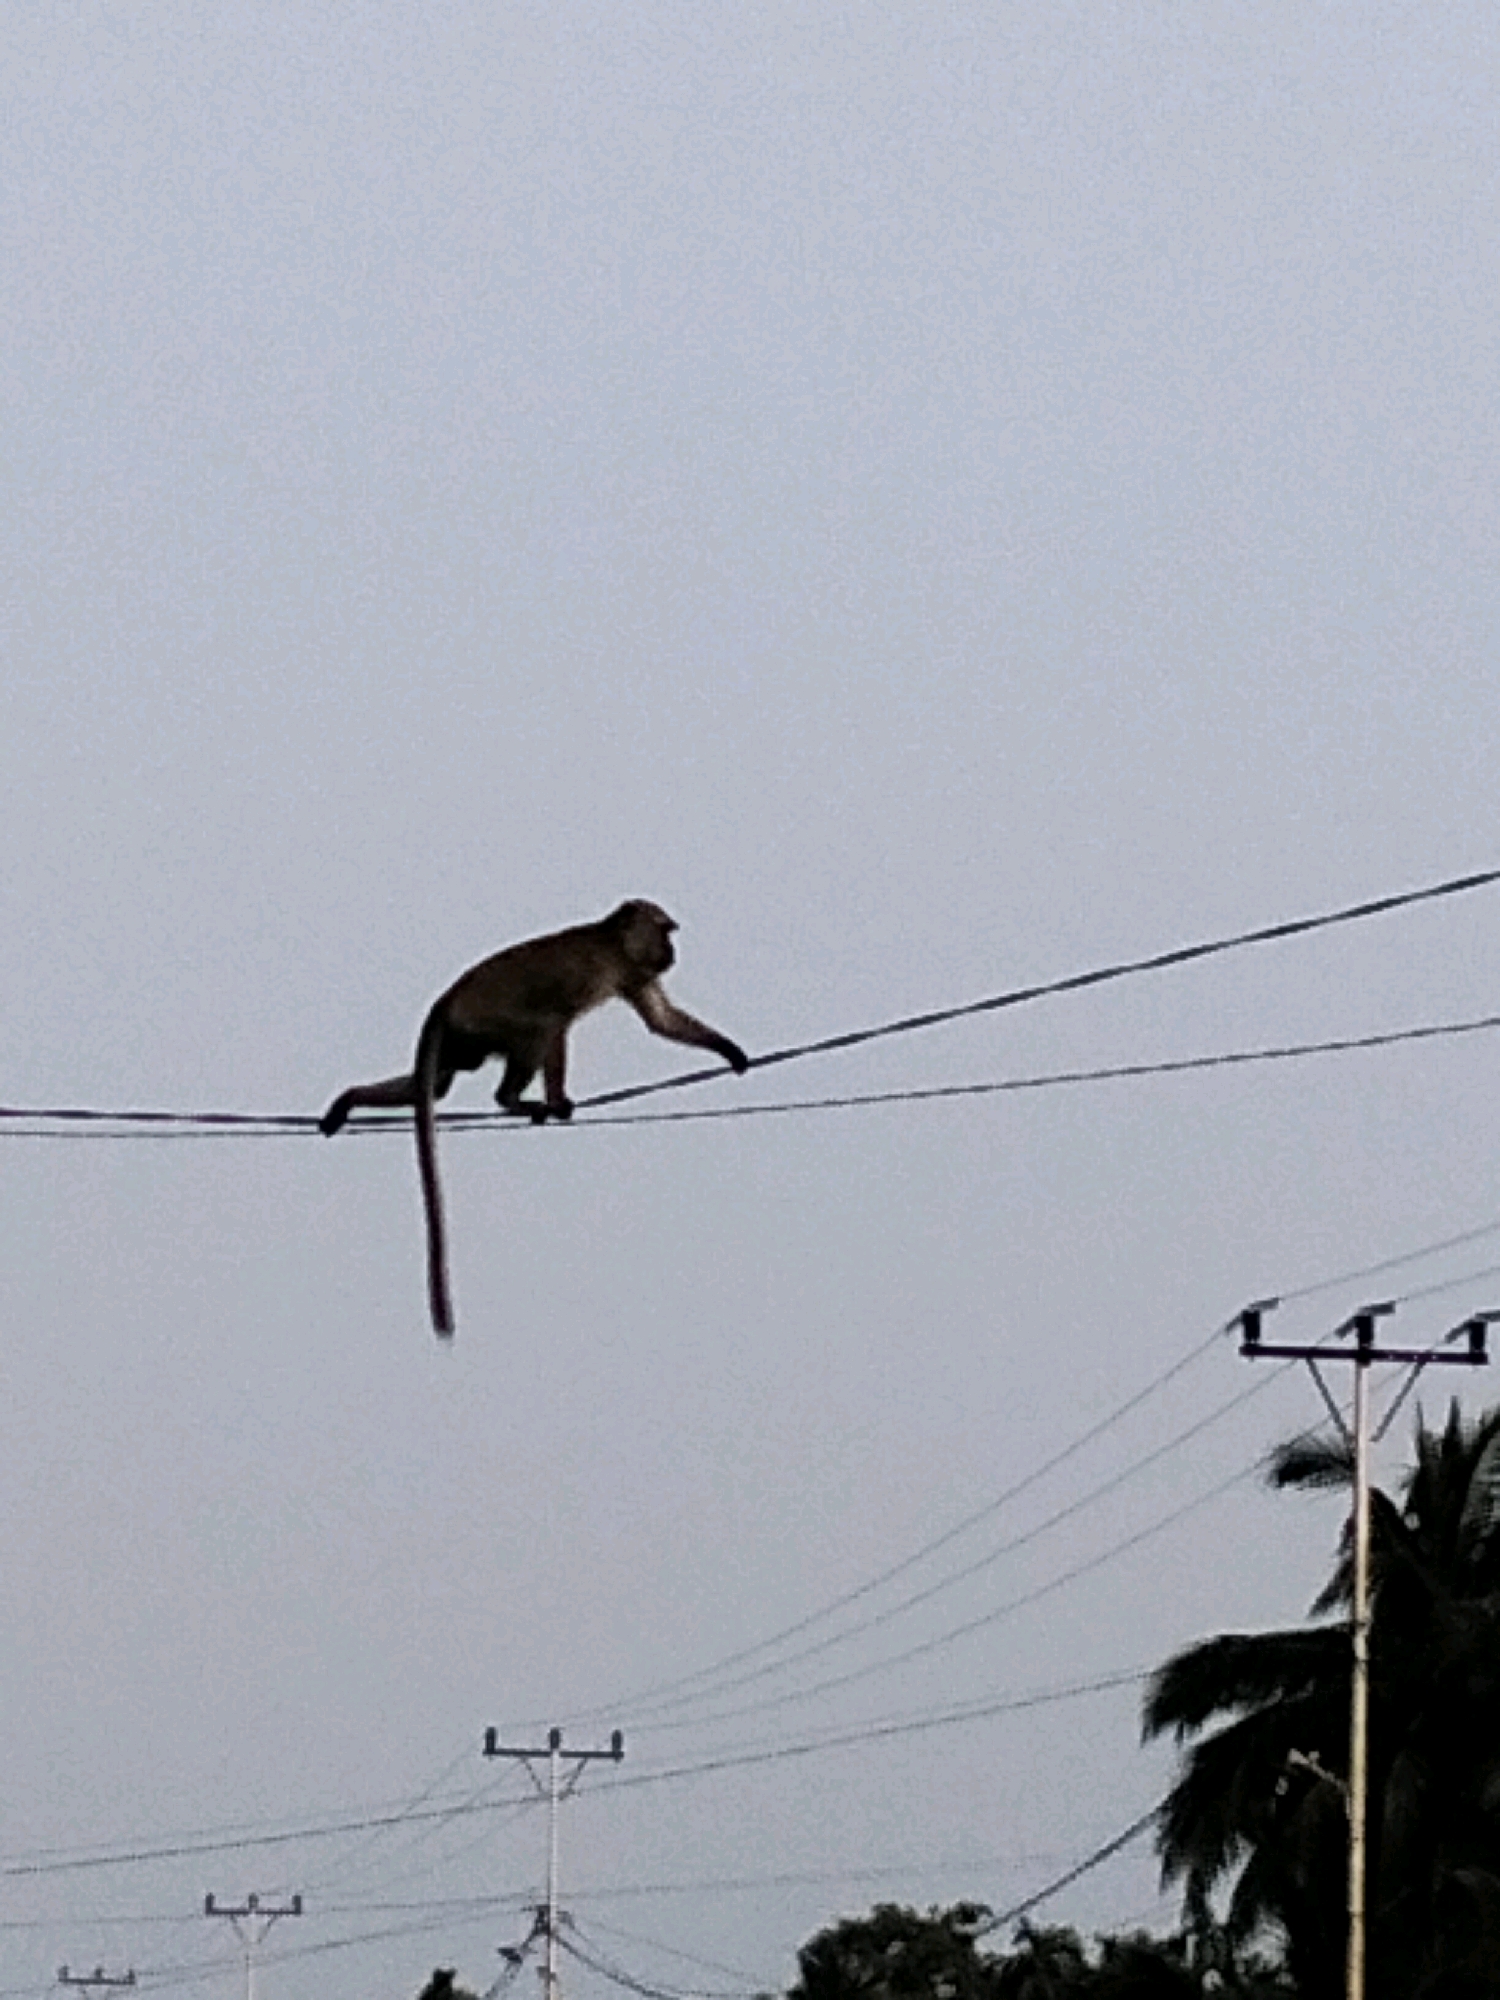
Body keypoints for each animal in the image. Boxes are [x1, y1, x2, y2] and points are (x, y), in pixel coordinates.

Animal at [320, 900, 750, 1337]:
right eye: (666, 931)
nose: (672, 953)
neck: (611, 942)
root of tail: (446, 1002)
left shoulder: (632, 970)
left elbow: (661, 1020)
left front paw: (730, 1051)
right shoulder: (593, 968)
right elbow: (557, 1022)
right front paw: (558, 1100)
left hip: (463, 1039)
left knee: (436, 1085)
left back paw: (349, 1100)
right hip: (485, 1020)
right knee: (536, 1030)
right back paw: (513, 1100)